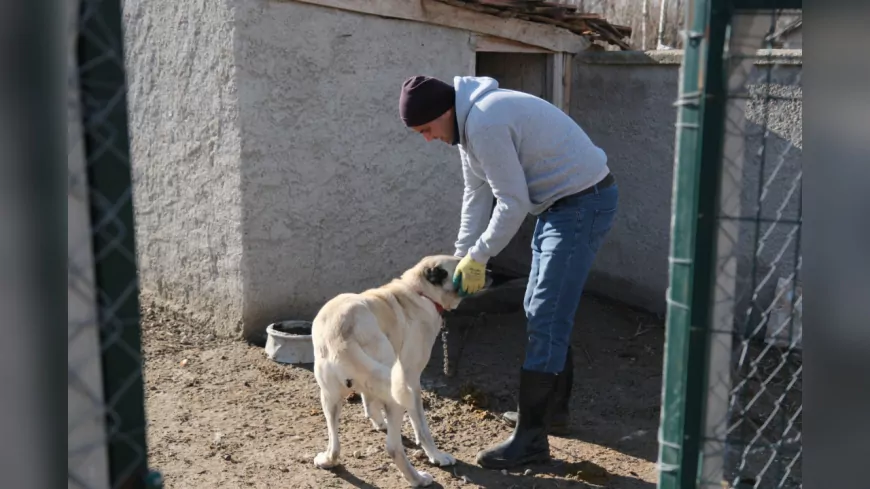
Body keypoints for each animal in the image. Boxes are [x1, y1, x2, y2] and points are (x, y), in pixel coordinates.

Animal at [312, 255, 476, 484]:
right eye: (462, 269)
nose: (491, 272)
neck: (418, 290)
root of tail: (340, 335)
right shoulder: (413, 380)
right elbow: (422, 427)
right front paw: (436, 456)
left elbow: (368, 400)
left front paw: (377, 420)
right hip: (397, 392)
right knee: (392, 447)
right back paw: (418, 479)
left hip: (329, 397)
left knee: (334, 443)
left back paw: (328, 460)